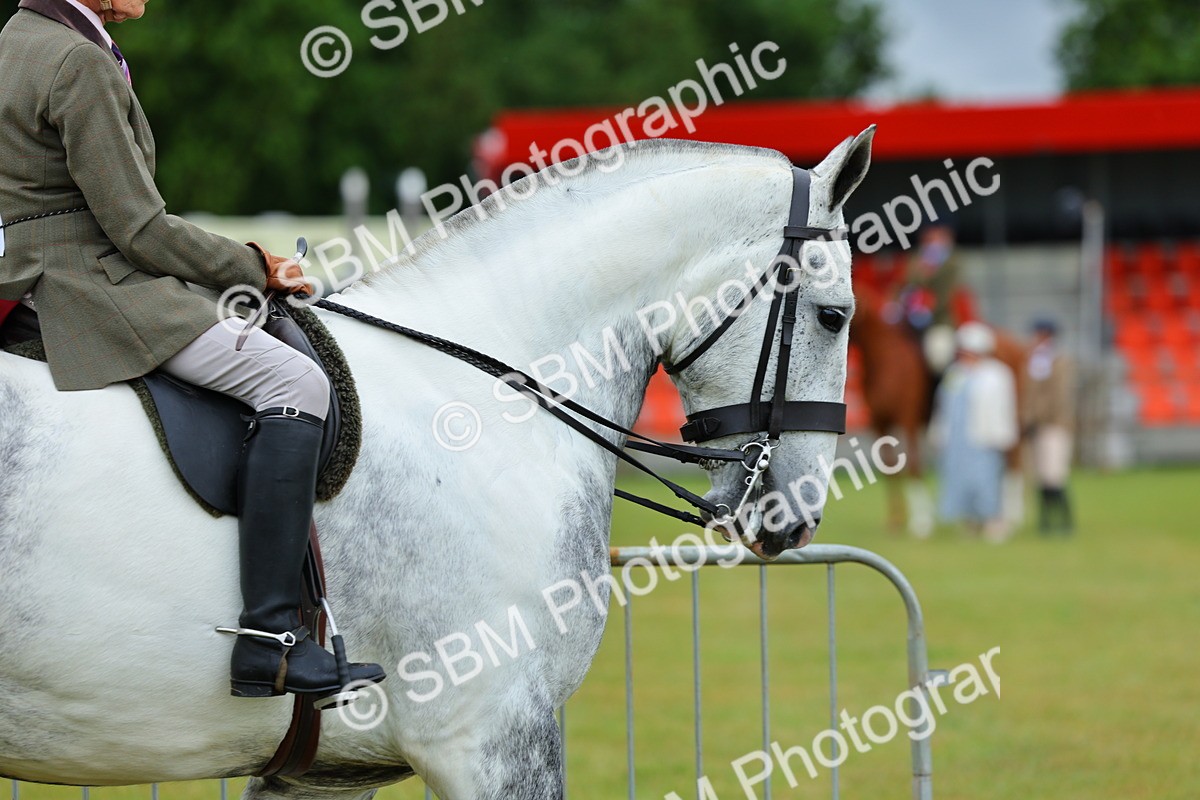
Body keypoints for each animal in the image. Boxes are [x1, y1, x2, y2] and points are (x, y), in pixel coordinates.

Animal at [849, 283, 1028, 537]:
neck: (886, 359)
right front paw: (896, 520)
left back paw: (1010, 517)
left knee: (1013, 459)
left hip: (1007, 416)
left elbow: (914, 465)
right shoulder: (880, 424)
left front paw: (922, 522)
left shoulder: (908, 420)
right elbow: (891, 468)